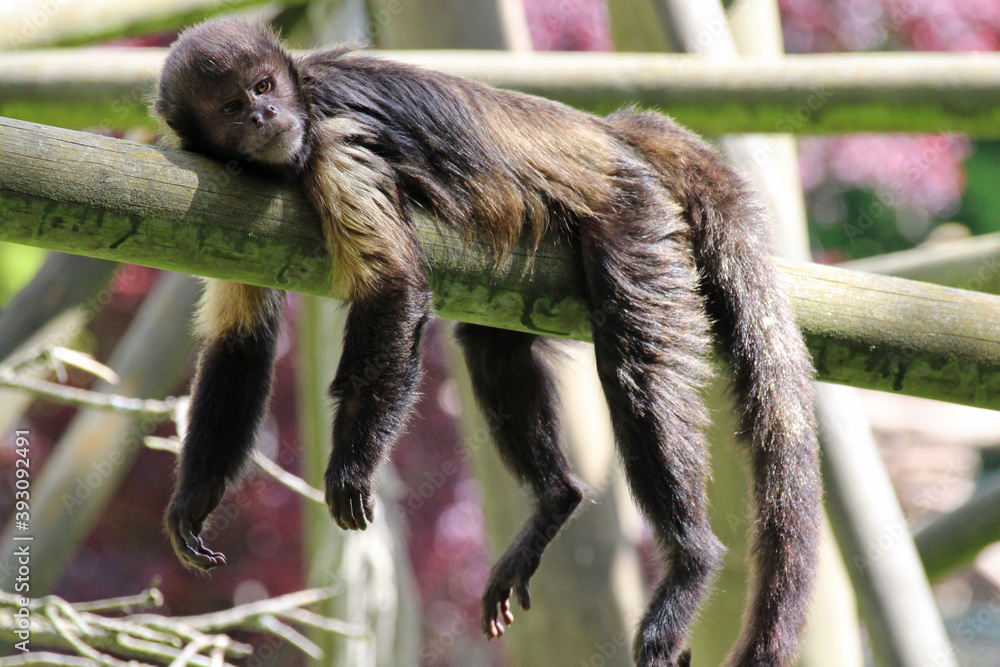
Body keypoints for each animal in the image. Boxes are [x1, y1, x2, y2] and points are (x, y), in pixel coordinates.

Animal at [150, 18, 820, 664]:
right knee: (489, 342)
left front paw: (352, 465)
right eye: (233, 106)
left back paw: (691, 561)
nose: (265, 115)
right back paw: (556, 498)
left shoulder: (333, 137)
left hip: (634, 211)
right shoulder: (229, 192)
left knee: (636, 367)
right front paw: (196, 496)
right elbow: (241, 338)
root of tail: (610, 132)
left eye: (264, 87)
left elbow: (394, 287)